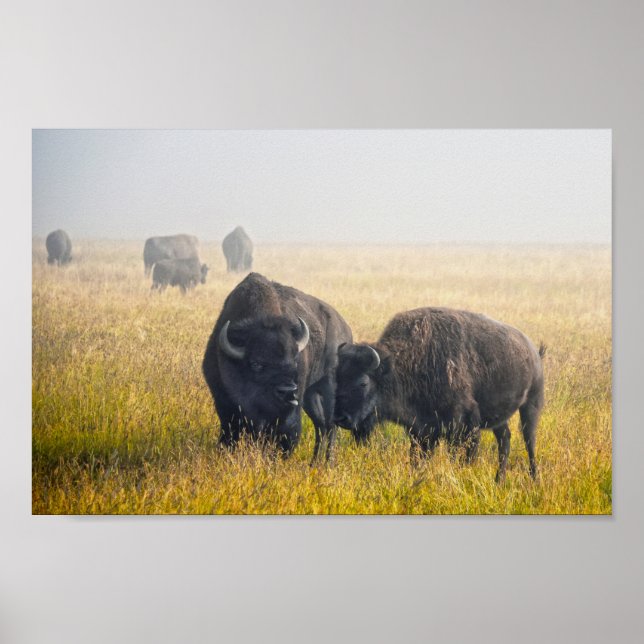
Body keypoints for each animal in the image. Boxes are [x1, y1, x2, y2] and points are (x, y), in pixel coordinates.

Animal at [202, 272, 352, 460]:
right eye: (256, 363)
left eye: (294, 359)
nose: (288, 391)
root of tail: (346, 328)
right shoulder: (225, 404)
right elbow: (230, 433)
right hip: (310, 396)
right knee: (322, 426)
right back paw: (314, 463)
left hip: (327, 388)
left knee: (331, 426)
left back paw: (328, 462)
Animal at [334, 307, 545, 482]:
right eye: (338, 378)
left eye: (363, 382)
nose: (341, 418)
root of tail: (533, 351)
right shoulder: (421, 431)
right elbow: (418, 459)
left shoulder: (464, 427)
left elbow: (462, 457)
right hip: (500, 418)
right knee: (505, 441)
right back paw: (499, 480)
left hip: (531, 404)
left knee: (529, 441)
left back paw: (534, 478)